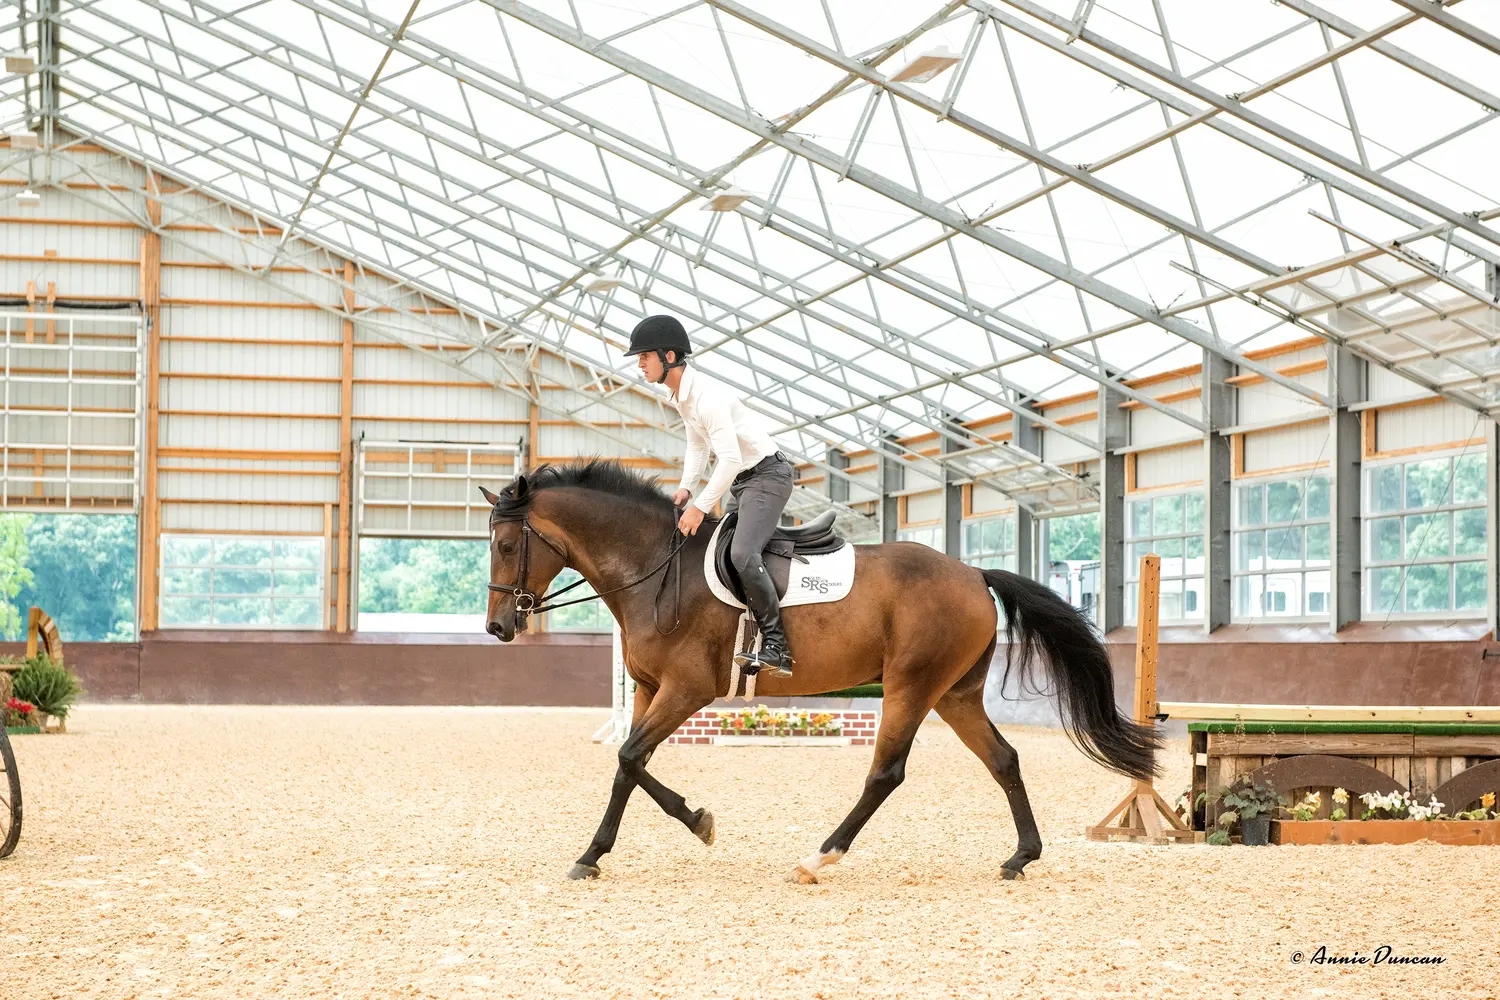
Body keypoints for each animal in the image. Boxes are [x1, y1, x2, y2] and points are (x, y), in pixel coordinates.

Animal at [481, 460, 1159, 883]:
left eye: (507, 546)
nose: (497, 629)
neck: (655, 569)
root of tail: (973, 572)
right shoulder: (651, 689)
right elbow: (631, 764)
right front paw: (644, 838)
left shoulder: (686, 689)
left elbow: (628, 758)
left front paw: (656, 835)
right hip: (955, 694)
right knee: (1003, 760)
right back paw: (1022, 856)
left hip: (911, 686)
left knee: (886, 773)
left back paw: (818, 858)